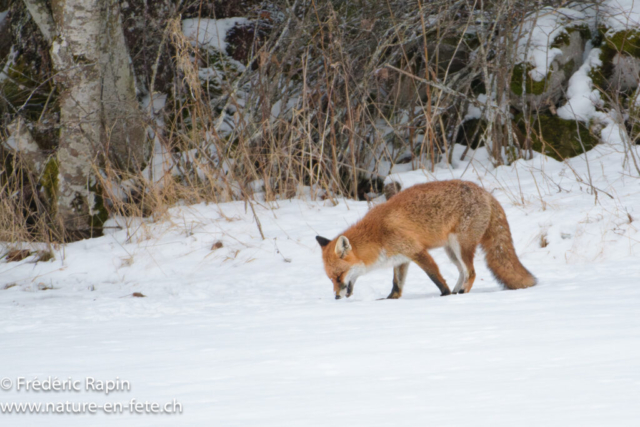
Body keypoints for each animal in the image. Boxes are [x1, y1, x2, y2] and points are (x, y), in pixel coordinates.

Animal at [316, 180, 536, 299]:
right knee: (463, 272)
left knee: (471, 273)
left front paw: (444, 295)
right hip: (451, 251)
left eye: (338, 277)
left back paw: (461, 293)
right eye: (331, 279)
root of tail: (485, 192)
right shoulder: (401, 259)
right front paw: (389, 300)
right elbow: (396, 285)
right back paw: (458, 291)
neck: (377, 235)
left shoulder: (417, 251)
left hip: (460, 246)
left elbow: (435, 277)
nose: (336, 297)